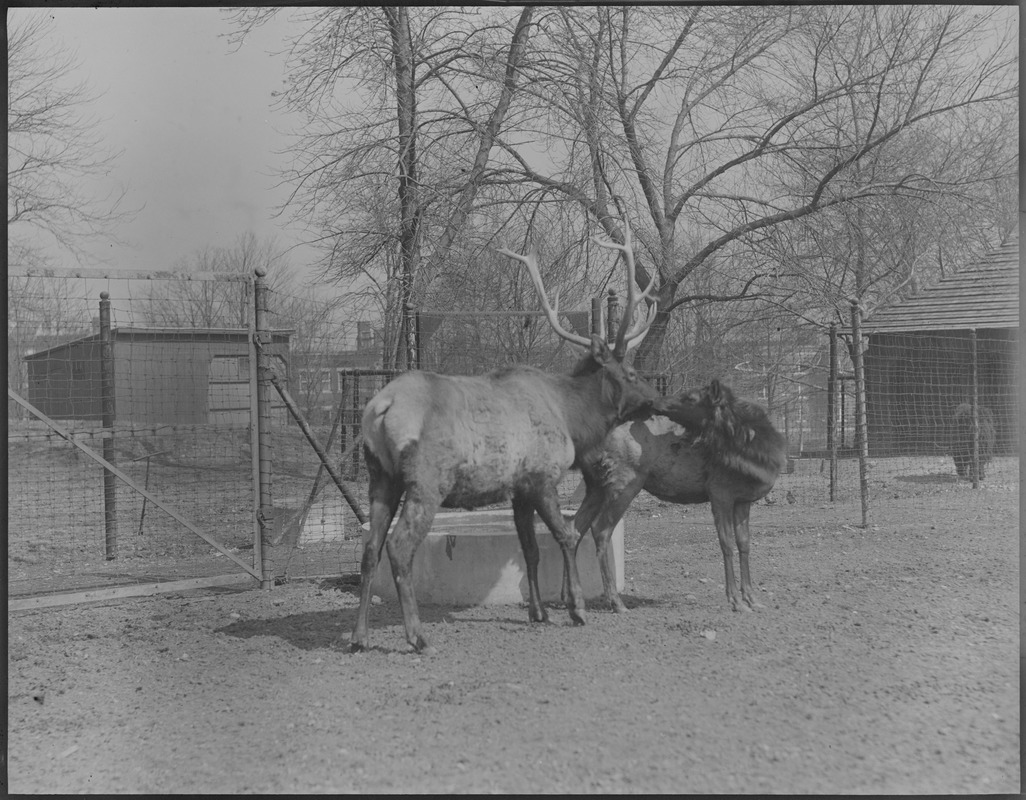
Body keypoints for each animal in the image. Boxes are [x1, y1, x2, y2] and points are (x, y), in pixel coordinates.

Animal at [352, 217, 656, 648]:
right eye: (630, 373)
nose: (657, 399)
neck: (571, 417)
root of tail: (380, 408)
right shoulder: (542, 476)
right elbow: (565, 536)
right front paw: (576, 609)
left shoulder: (519, 489)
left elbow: (530, 549)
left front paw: (539, 612)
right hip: (427, 479)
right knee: (398, 546)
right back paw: (417, 636)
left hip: (381, 477)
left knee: (370, 549)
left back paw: (359, 636)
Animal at [570, 381, 783, 611]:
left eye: (691, 398)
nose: (653, 401)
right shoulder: (720, 492)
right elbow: (727, 544)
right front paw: (735, 600)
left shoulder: (743, 500)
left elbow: (744, 544)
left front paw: (752, 598)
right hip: (625, 482)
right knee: (600, 529)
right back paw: (616, 602)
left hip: (596, 487)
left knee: (573, 529)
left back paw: (570, 597)